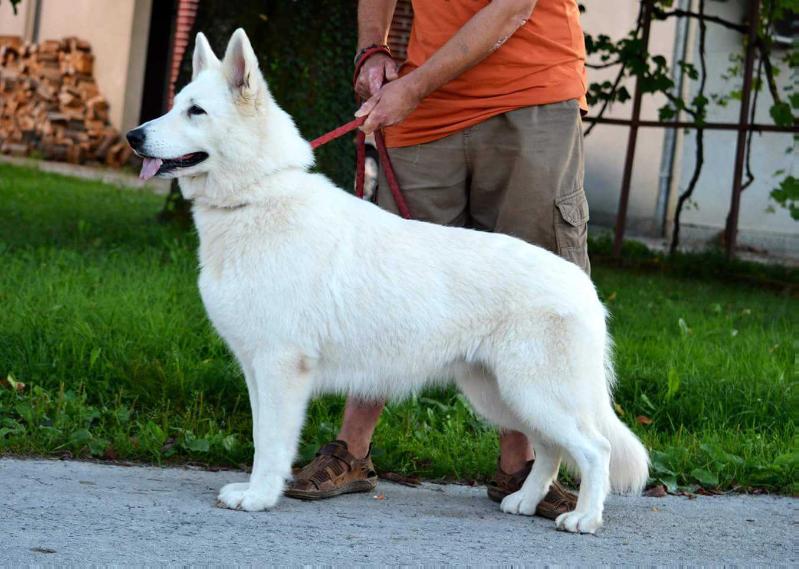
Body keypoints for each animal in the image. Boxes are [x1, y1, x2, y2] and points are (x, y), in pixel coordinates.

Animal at [126, 27, 648, 532]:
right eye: (174, 104)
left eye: (195, 111)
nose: (133, 136)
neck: (256, 196)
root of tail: (585, 288)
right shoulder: (257, 368)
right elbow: (260, 437)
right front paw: (257, 490)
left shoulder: (280, 367)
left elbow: (271, 444)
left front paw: (259, 498)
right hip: (502, 395)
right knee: (552, 447)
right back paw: (524, 501)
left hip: (534, 393)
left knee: (595, 449)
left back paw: (583, 518)